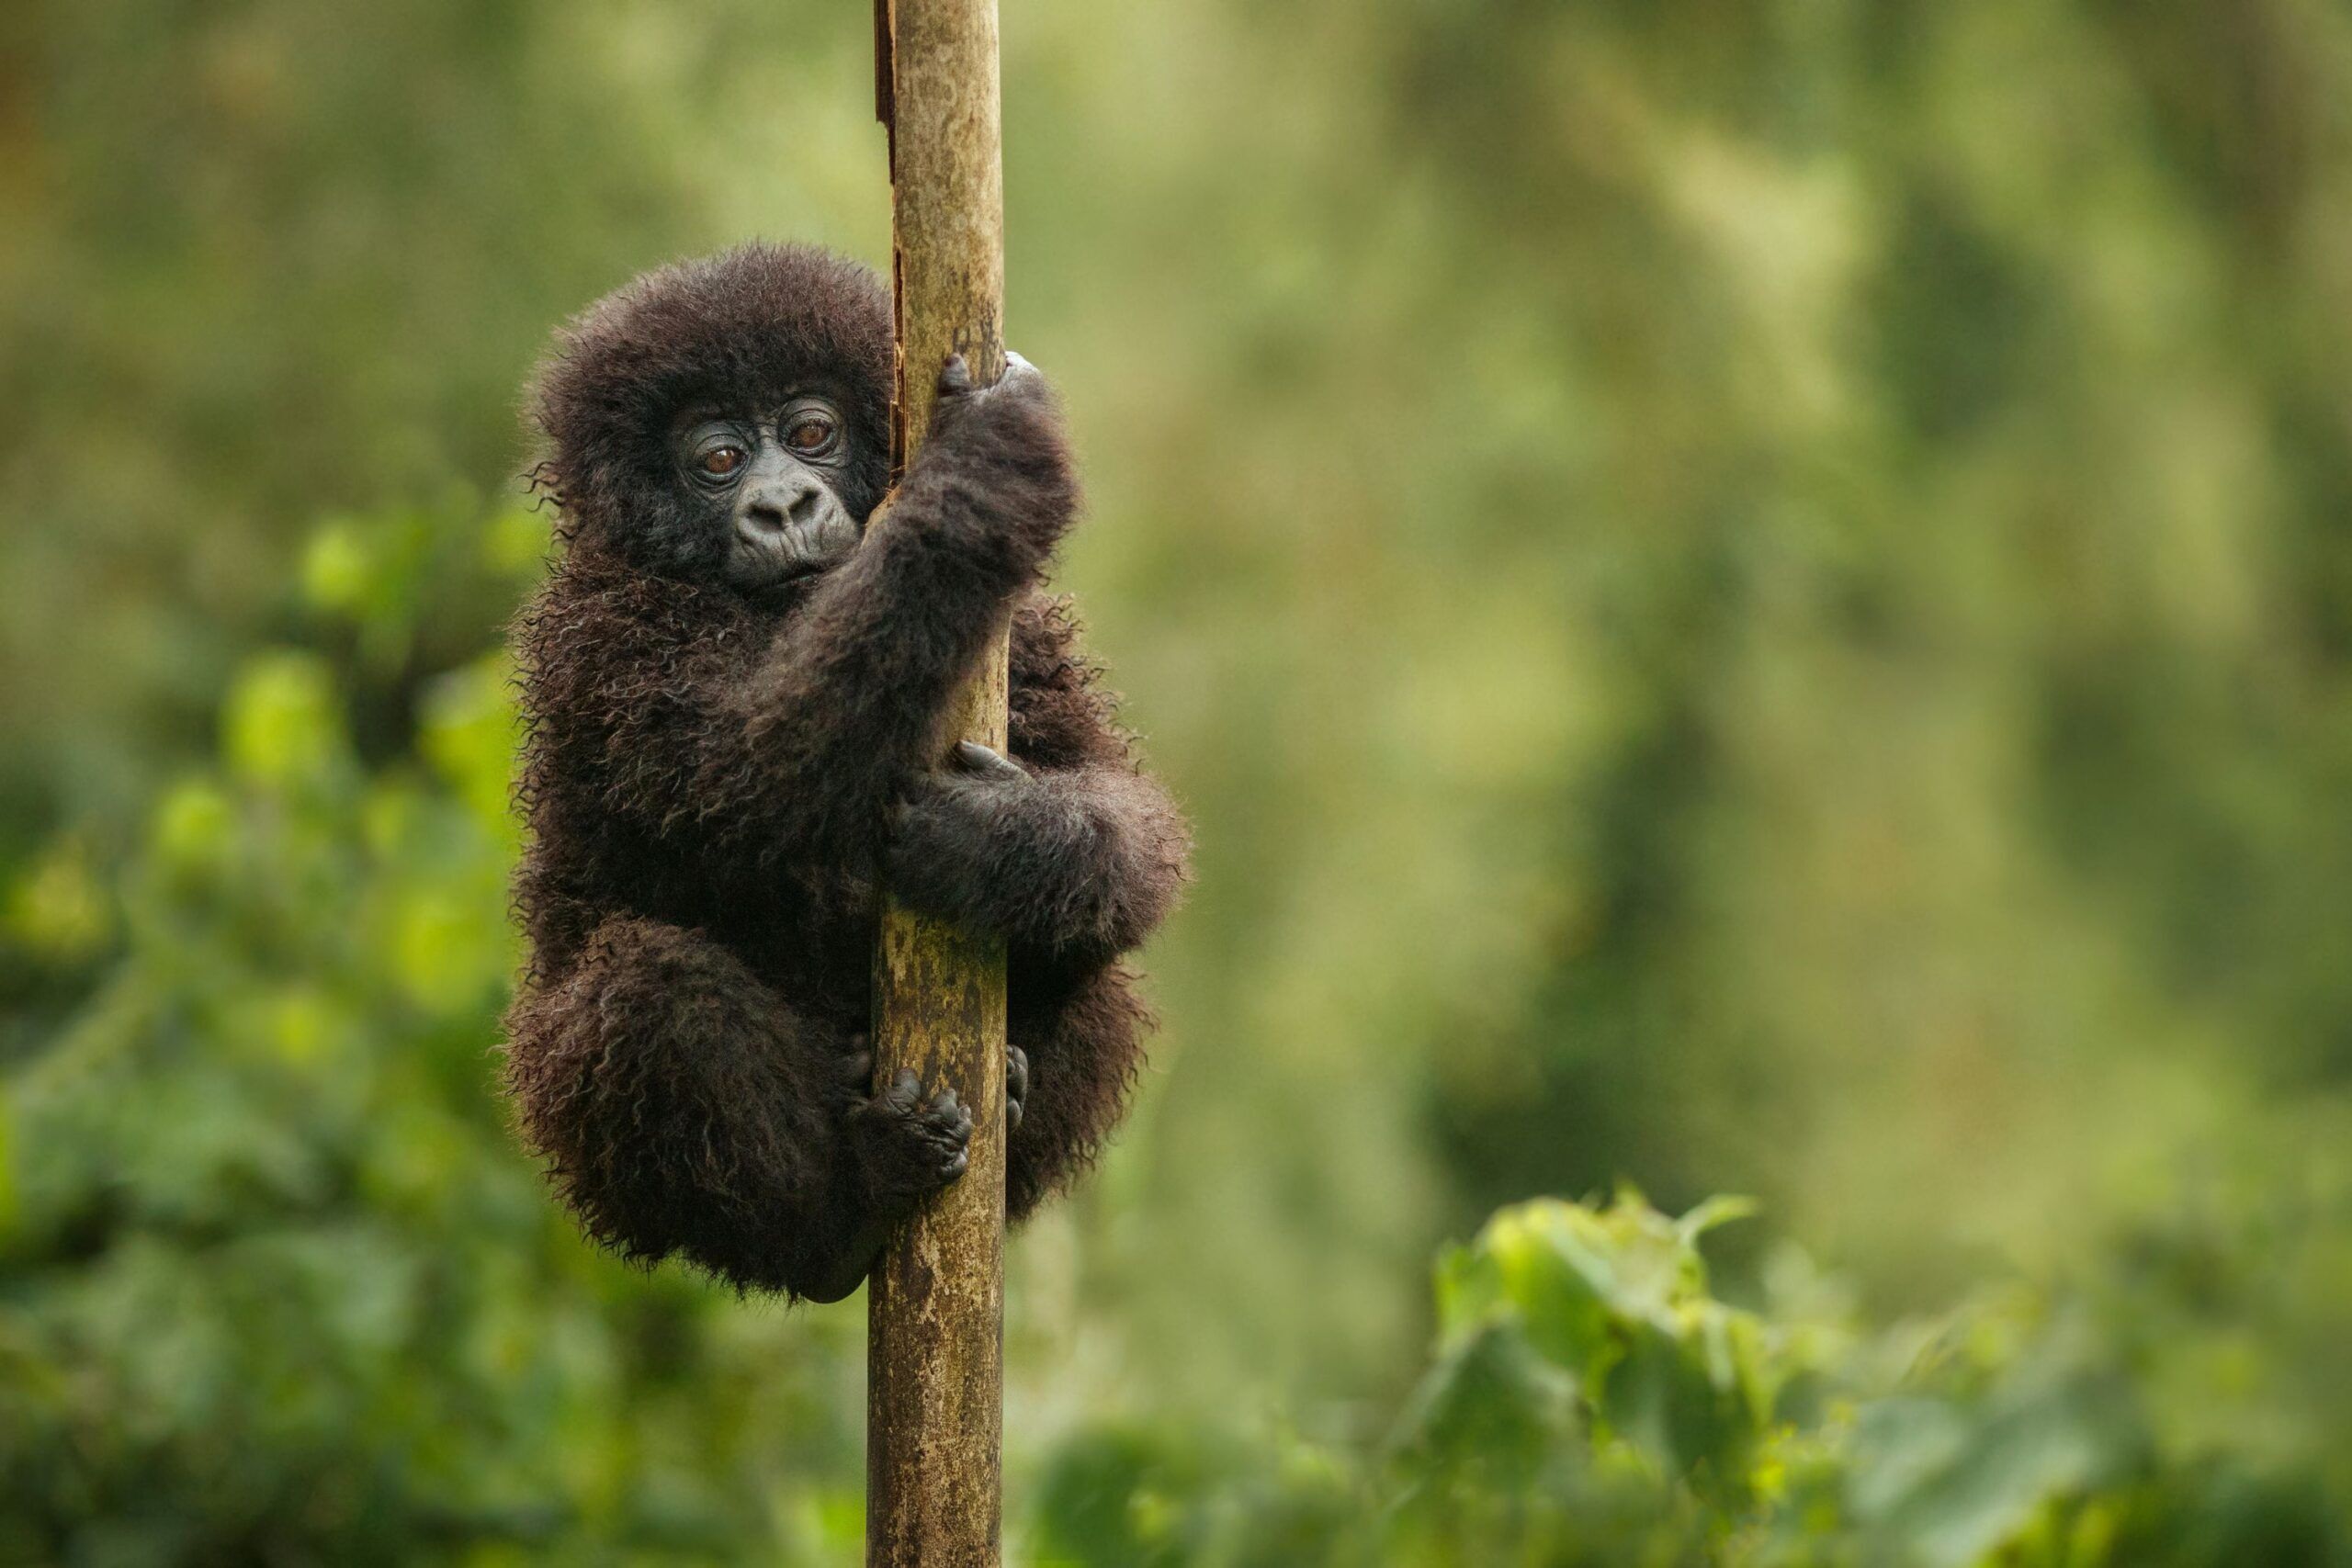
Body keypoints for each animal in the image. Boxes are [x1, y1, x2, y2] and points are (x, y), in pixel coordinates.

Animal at [500, 244, 1190, 1302]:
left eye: (812, 432)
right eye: (718, 460)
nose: (783, 504)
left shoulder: (1025, 632)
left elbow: (1123, 812)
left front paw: (1000, 844)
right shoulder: (600, 639)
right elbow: (751, 772)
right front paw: (983, 469)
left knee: (1103, 969)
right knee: (646, 994)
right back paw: (841, 1216)